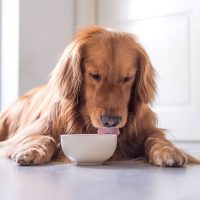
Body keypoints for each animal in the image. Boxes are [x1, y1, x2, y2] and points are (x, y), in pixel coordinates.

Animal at [0, 27, 198, 167]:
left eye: (127, 78)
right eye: (94, 75)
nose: (111, 121)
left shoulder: (147, 129)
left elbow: (155, 138)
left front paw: (168, 151)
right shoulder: (29, 132)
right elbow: (45, 138)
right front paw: (33, 150)